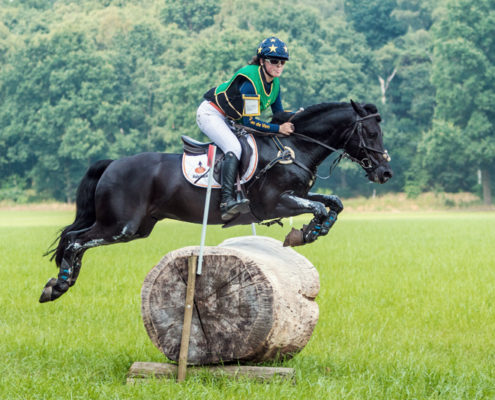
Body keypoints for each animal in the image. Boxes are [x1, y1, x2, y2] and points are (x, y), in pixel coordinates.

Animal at [38, 100, 394, 304]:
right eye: (371, 134)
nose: (385, 172)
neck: (294, 147)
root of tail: (112, 163)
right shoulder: (274, 204)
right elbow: (320, 207)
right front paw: (303, 234)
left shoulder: (299, 196)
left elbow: (334, 203)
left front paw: (314, 230)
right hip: (120, 225)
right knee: (75, 240)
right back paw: (60, 285)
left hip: (136, 228)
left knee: (75, 239)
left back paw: (61, 281)